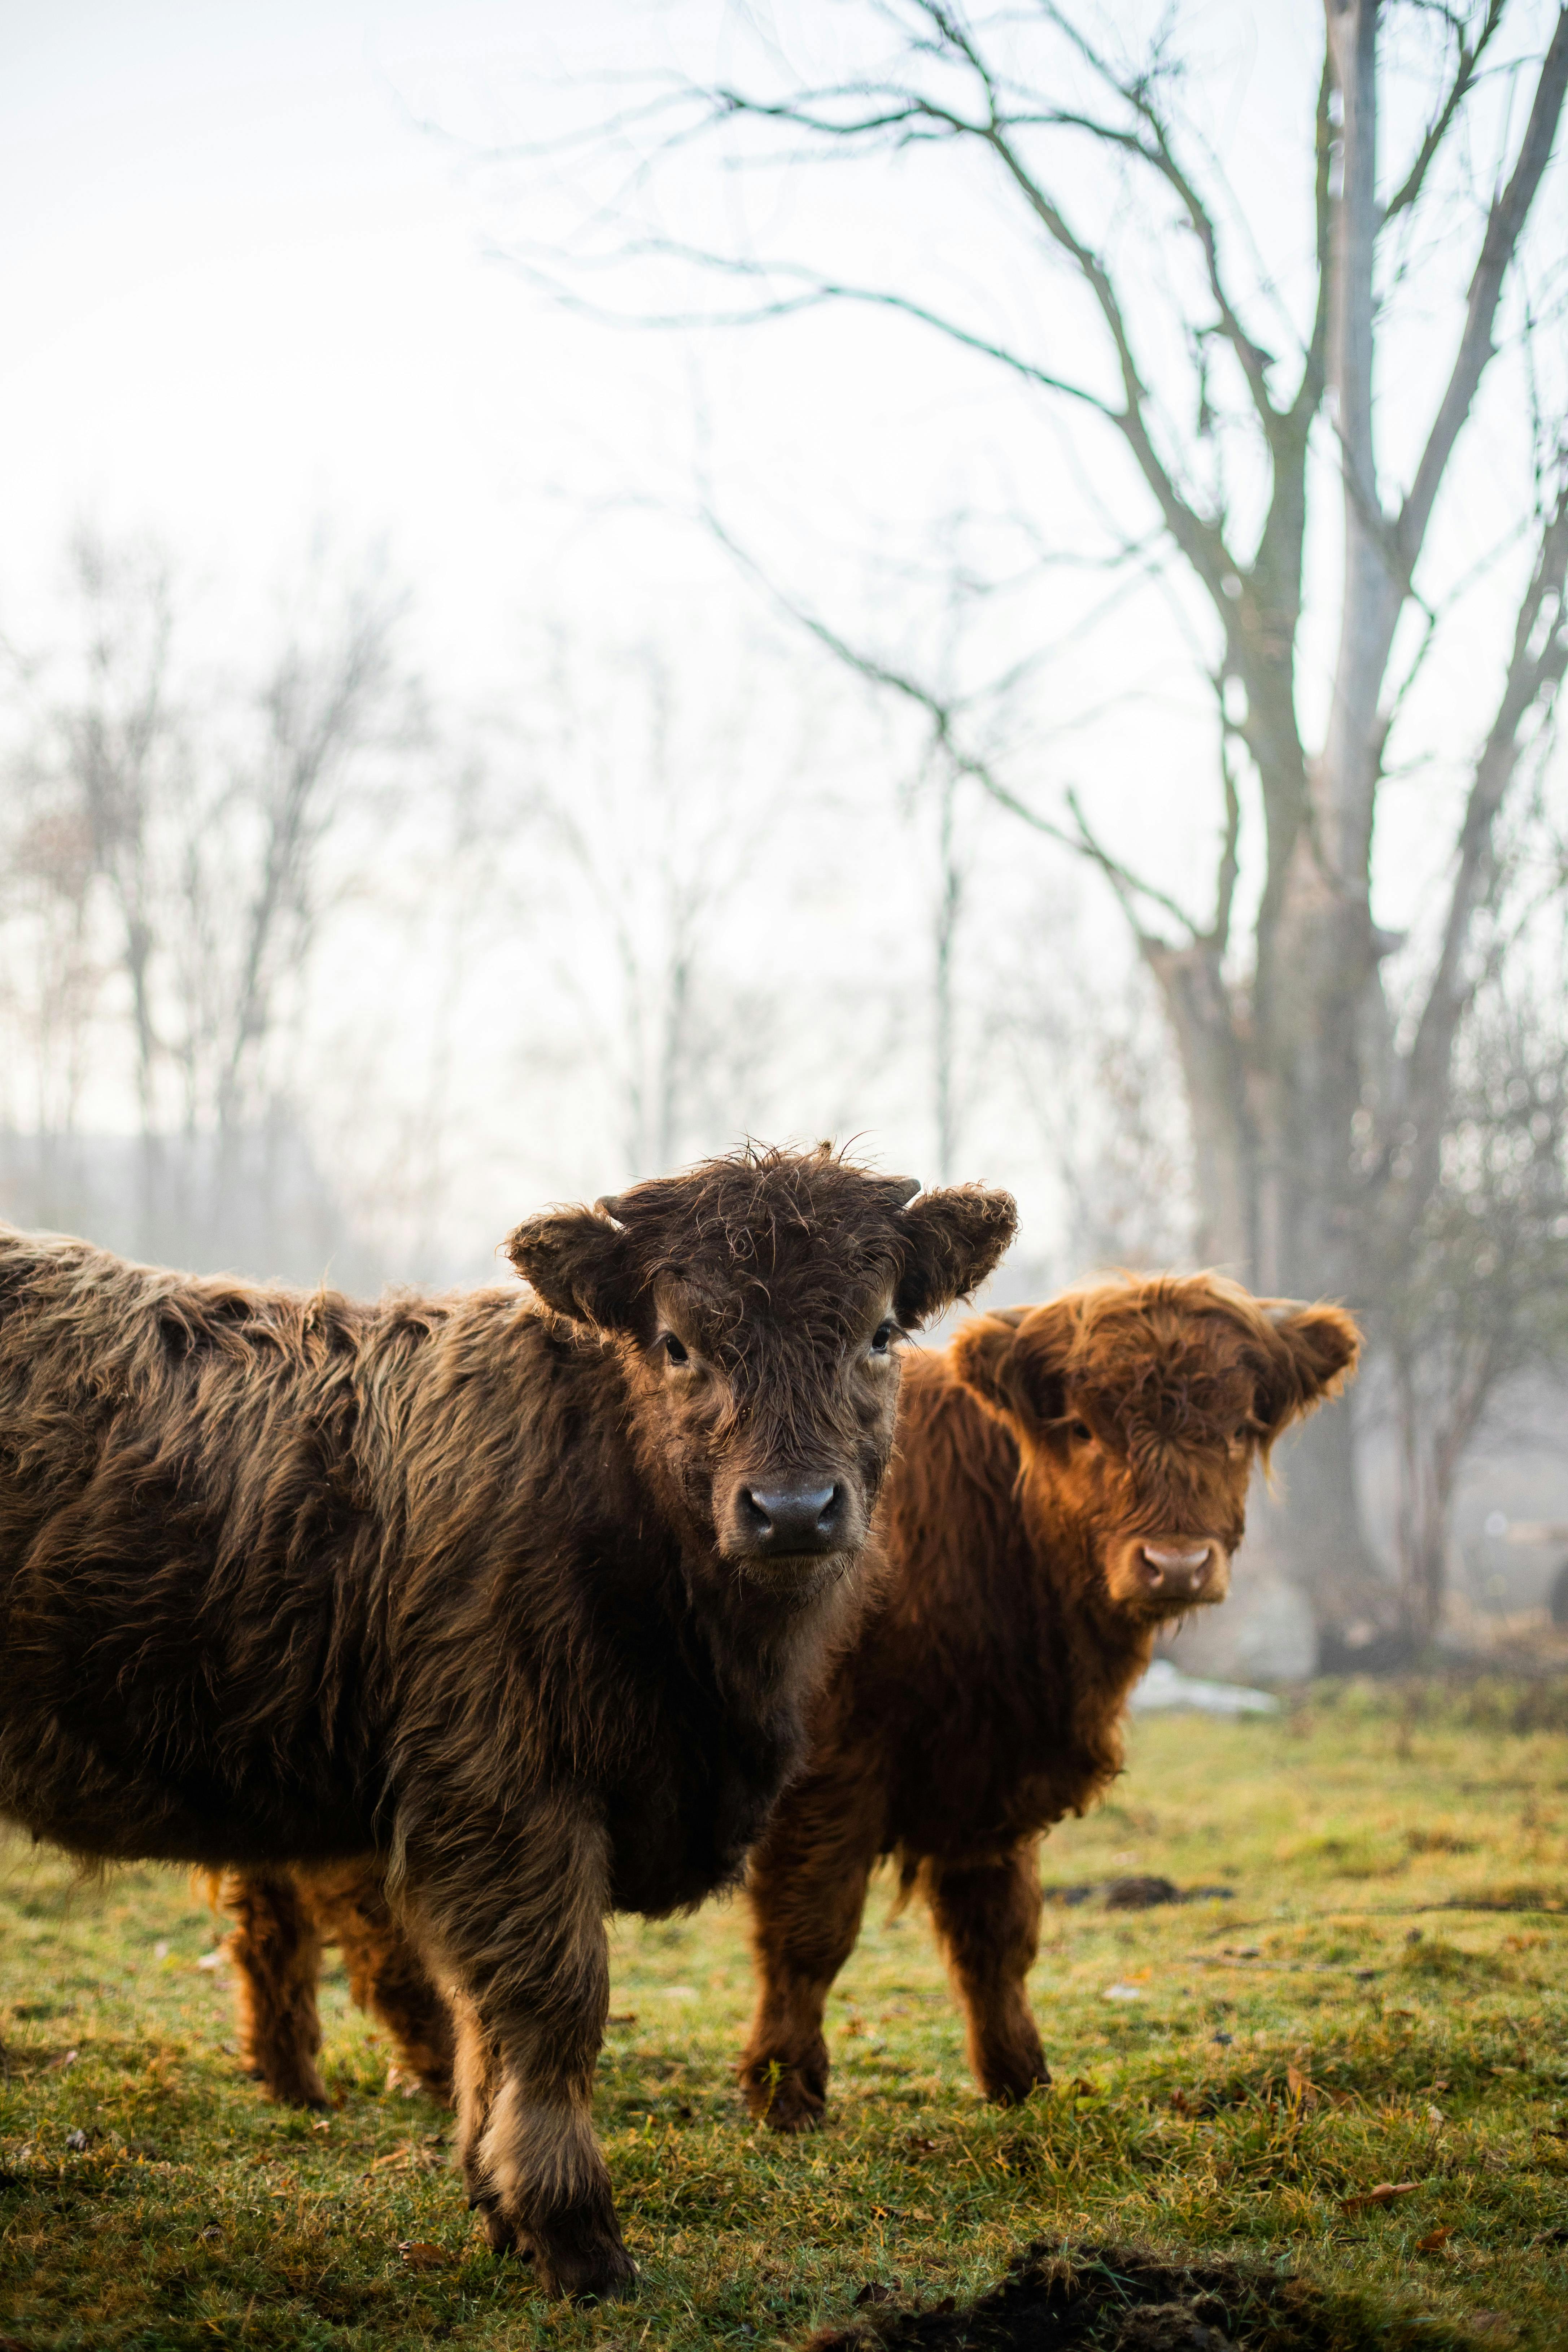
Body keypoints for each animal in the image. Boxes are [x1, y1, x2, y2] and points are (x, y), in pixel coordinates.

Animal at [0, 1145, 1016, 2299]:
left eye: (879, 1332)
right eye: (678, 1342)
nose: (793, 1510)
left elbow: (486, 2018)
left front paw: (502, 2207)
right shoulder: (504, 1792)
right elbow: (548, 2002)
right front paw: (575, 2231)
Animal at [738, 1273, 1361, 2128]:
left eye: (1237, 1429)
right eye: (1085, 1430)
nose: (1176, 1563)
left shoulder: (989, 1771)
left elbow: (997, 1936)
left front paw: (1019, 2079)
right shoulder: (829, 1767)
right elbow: (810, 1927)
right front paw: (785, 2091)